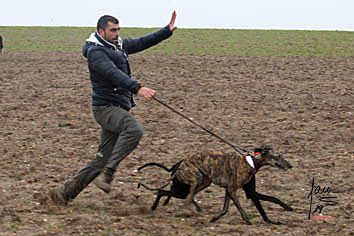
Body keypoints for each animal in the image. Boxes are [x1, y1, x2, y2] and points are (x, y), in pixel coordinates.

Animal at [138, 148, 294, 225]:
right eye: (278, 156)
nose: (290, 166)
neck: (251, 162)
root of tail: (179, 165)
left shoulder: (229, 190)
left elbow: (225, 209)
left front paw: (214, 218)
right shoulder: (234, 190)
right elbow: (240, 207)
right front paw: (248, 221)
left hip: (204, 181)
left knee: (187, 196)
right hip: (195, 179)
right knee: (185, 197)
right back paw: (186, 212)